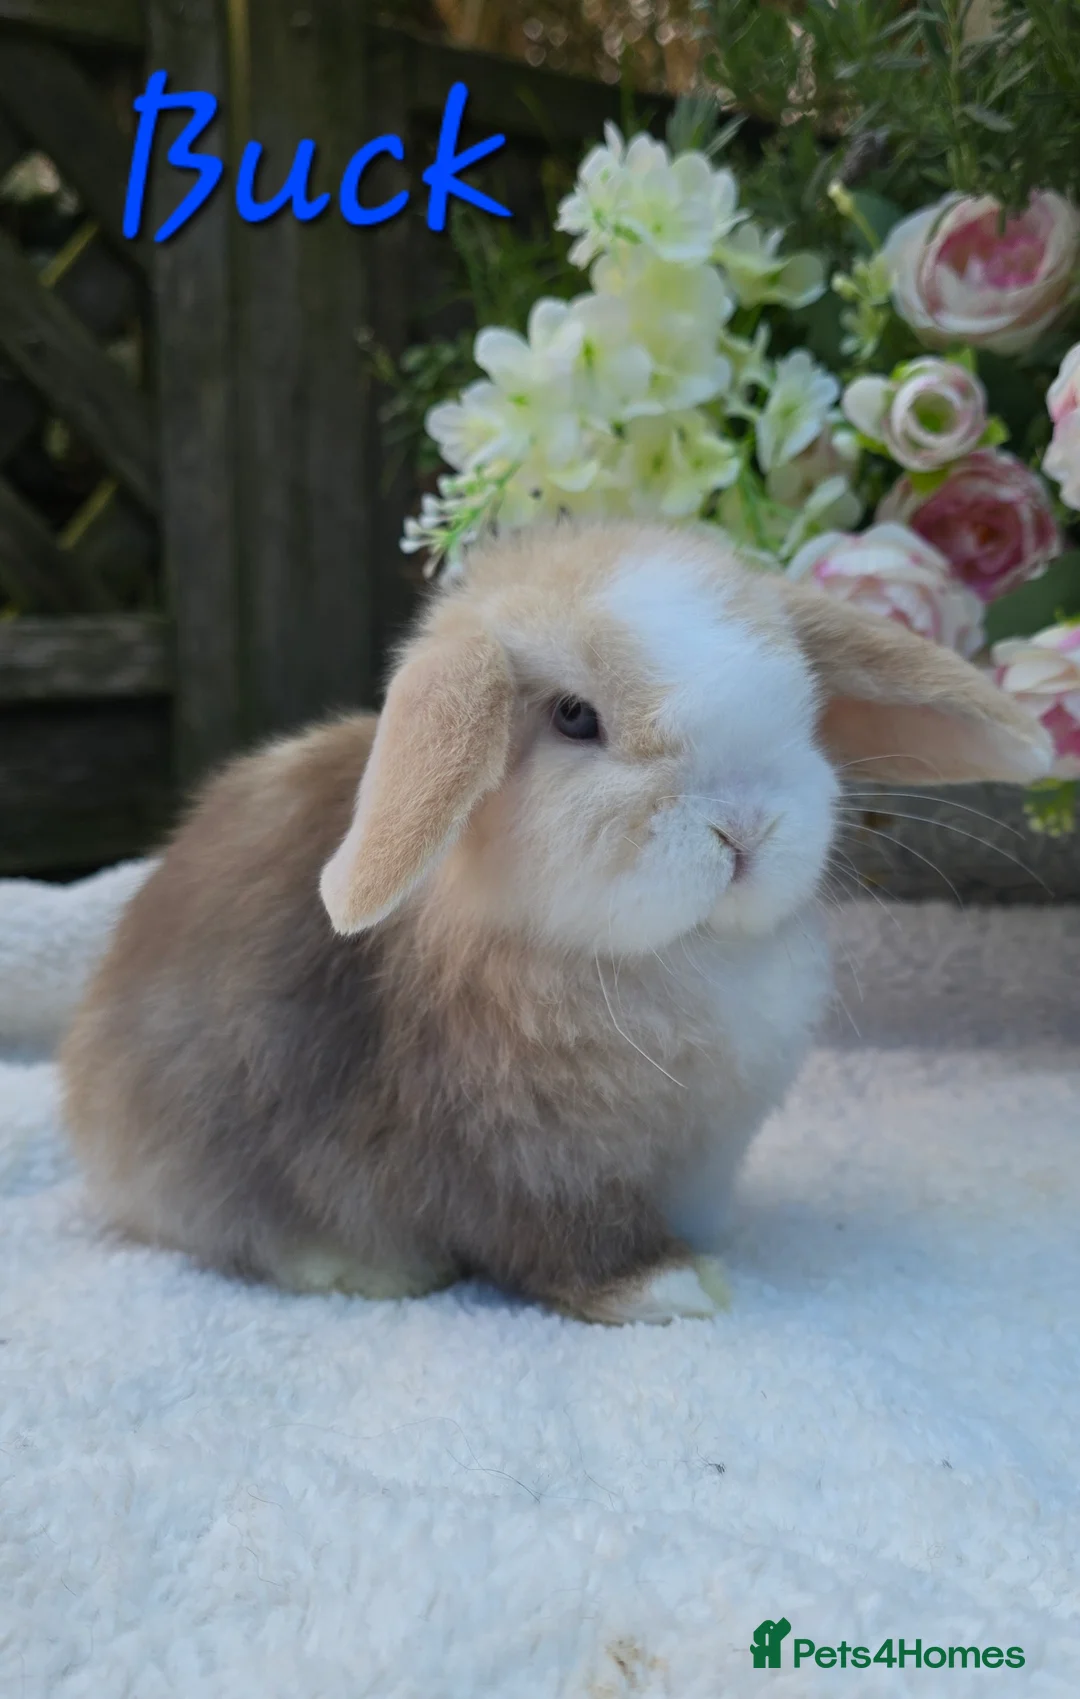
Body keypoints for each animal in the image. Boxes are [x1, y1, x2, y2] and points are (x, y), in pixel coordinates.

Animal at [61, 520, 1052, 1324]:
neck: (673, 955)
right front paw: (674, 1287)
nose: (746, 828)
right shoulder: (531, 1163)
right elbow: (571, 1241)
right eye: (576, 718)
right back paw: (363, 1269)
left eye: (799, 700)